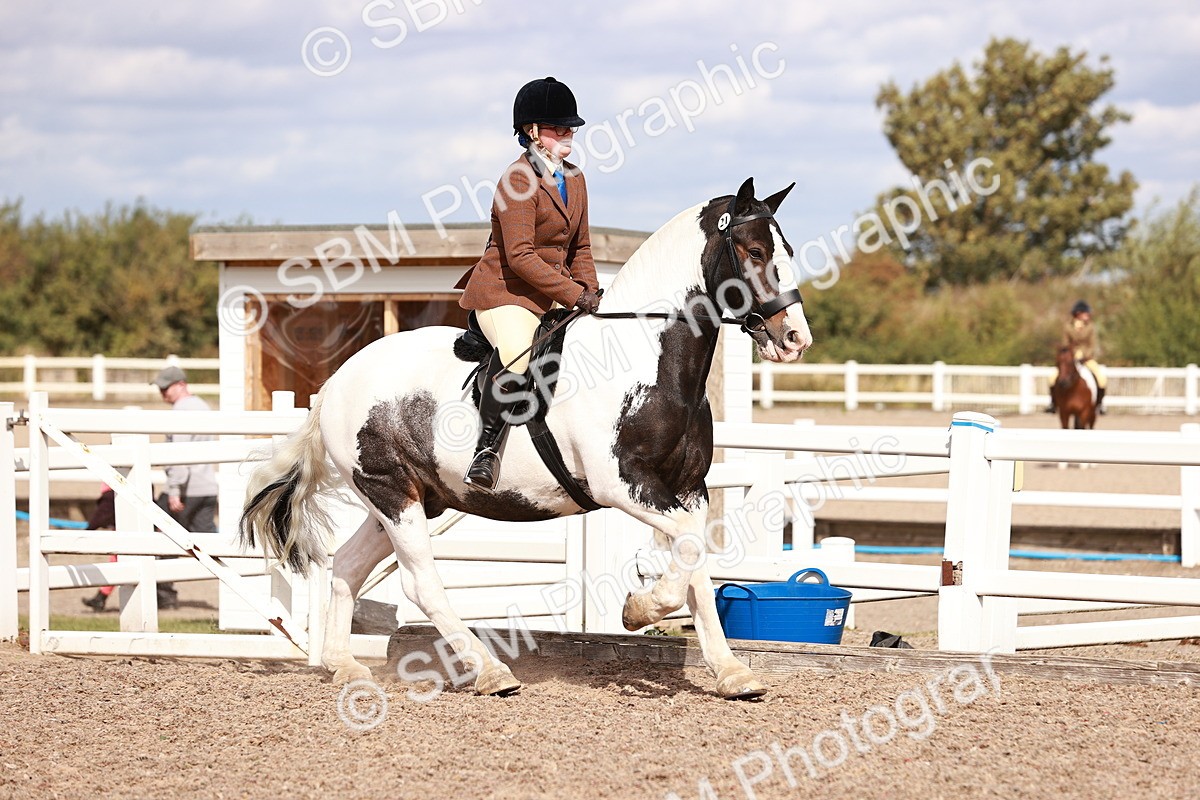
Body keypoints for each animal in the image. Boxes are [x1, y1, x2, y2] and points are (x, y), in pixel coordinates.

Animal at [240, 177, 812, 700]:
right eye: (755, 252)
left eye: (786, 250)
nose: (794, 340)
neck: (651, 360)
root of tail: (334, 383)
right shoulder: (622, 486)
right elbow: (689, 551)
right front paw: (637, 609)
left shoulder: (688, 488)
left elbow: (697, 565)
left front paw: (732, 673)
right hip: (391, 493)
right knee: (419, 582)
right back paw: (492, 672)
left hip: (411, 498)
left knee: (348, 565)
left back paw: (344, 666)